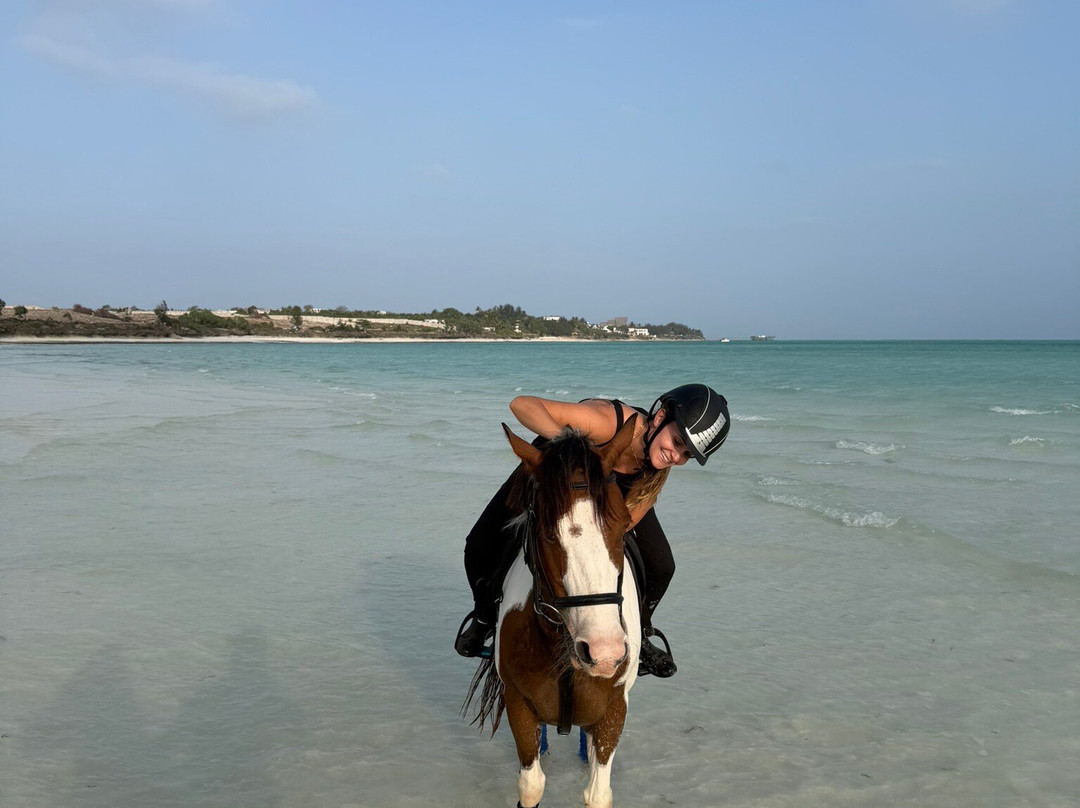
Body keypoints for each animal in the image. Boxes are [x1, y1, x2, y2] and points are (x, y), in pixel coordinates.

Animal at [464, 416, 642, 808]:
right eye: (547, 533)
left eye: (623, 525)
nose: (605, 652)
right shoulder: (518, 704)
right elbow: (531, 786)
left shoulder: (615, 710)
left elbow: (598, 794)